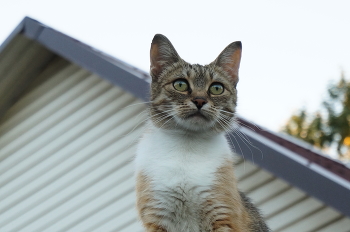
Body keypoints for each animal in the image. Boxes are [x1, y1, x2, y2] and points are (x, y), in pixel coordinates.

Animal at [135, 34, 270, 232]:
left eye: (216, 88)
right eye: (180, 84)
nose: (199, 100)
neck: (187, 146)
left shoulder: (222, 215)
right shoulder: (157, 217)